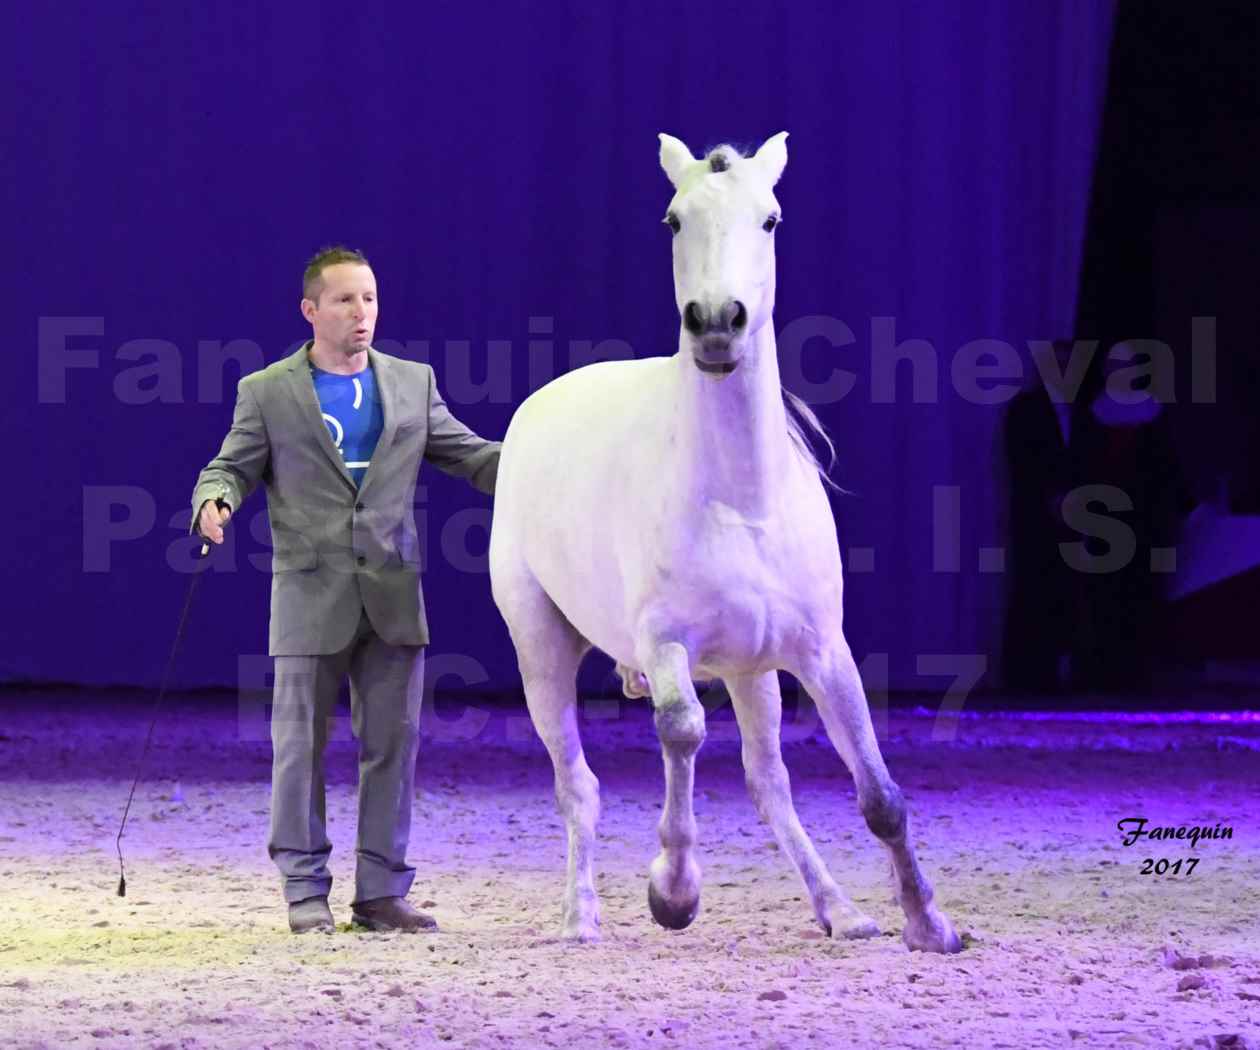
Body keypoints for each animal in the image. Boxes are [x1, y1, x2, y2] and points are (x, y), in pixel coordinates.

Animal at [486, 131, 957, 947]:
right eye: (674, 219)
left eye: (770, 218)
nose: (714, 322)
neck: (741, 503)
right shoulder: (666, 644)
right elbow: (681, 732)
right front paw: (673, 890)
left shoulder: (822, 653)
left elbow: (878, 794)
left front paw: (927, 923)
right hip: (540, 645)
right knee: (578, 785)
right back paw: (580, 917)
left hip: (751, 671)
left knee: (767, 783)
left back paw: (840, 910)